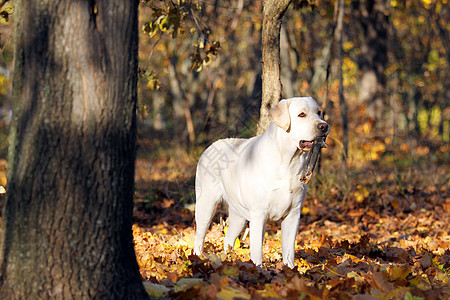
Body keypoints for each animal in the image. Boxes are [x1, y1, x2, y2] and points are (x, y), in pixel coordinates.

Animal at [192, 96, 326, 268]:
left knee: (228, 239)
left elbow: (289, 250)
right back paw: (197, 258)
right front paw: (259, 269)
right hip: (206, 205)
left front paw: (290, 270)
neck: (289, 162)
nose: (324, 126)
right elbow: (257, 251)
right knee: (199, 237)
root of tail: (210, 146)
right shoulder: (258, 214)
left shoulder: (294, 214)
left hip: (238, 216)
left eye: (319, 112)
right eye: (301, 115)